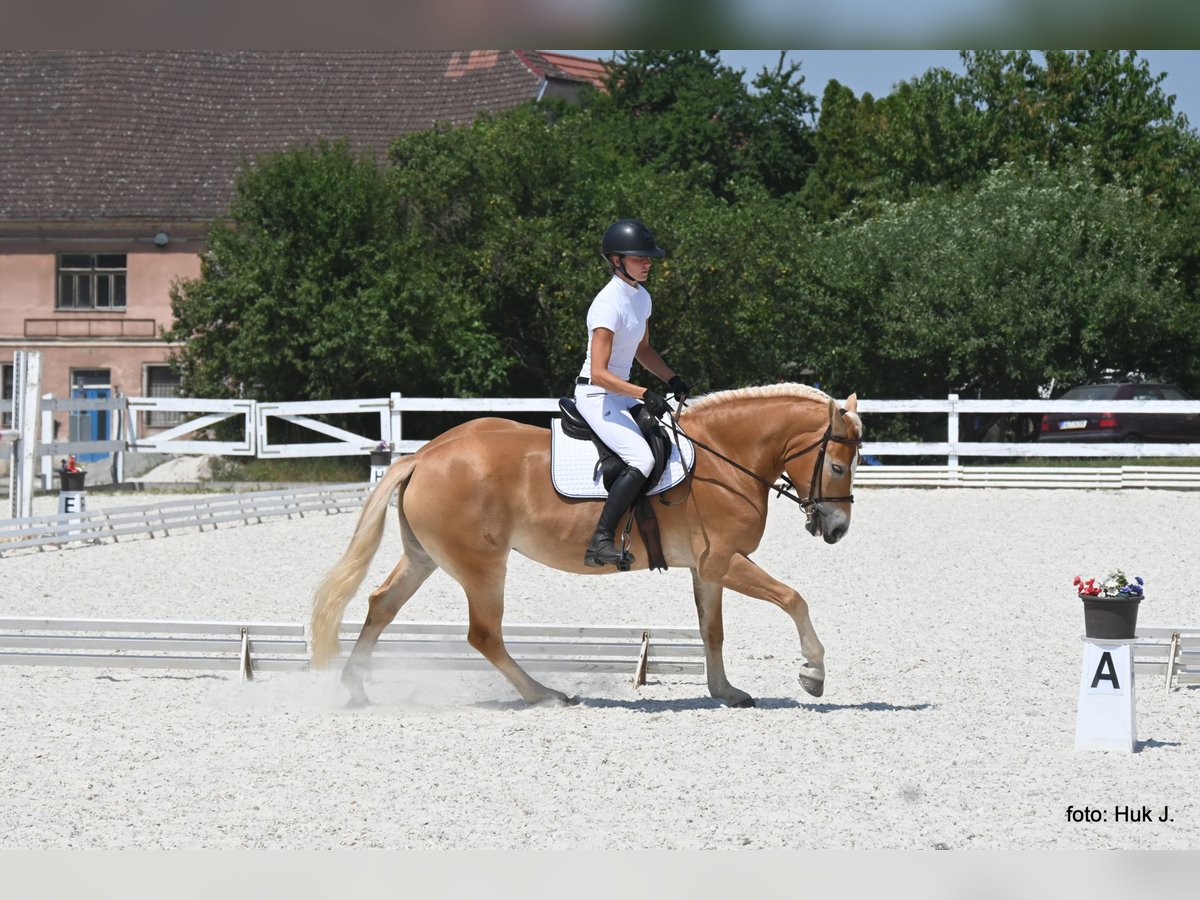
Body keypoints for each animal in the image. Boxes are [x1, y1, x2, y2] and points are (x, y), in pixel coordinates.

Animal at [312, 384, 864, 710]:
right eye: (838, 465)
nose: (837, 529)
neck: (722, 460)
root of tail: (424, 456)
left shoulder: (707, 570)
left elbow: (713, 632)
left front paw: (725, 691)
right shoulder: (724, 562)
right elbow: (793, 598)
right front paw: (813, 672)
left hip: (424, 557)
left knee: (381, 605)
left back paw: (355, 688)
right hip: (482, 566)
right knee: (484, 635)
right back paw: (544, 694)